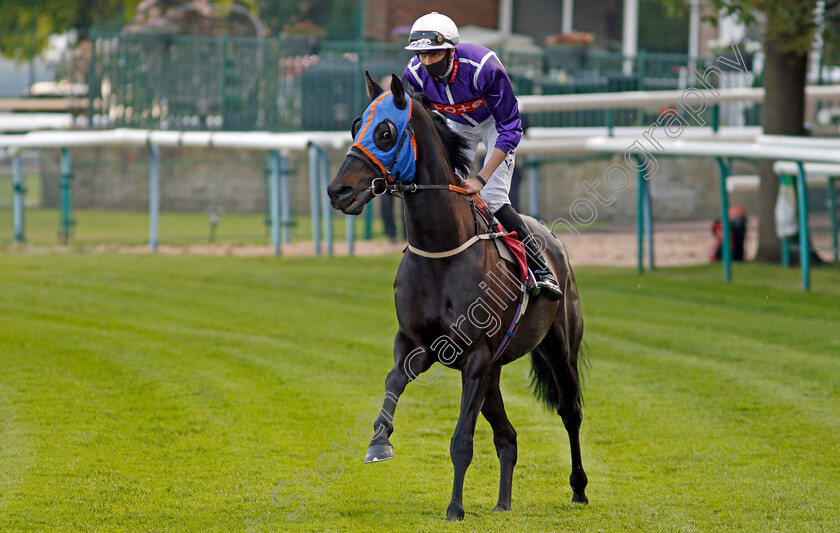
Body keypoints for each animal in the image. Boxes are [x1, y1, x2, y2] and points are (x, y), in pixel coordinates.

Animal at [324, 72, 588, 520]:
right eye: (356, 124)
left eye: (385, 132)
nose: (338, 190)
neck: (441, 251)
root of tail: (556, 244)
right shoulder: (417, 344)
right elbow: (392, 380)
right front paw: (379, 442)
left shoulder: (476, 356)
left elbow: (461, 441)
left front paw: (455, 508)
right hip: (495, 372)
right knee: (508, 436)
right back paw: (502, 504)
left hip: (558, 347)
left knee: (570, 412)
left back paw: (579, 489)